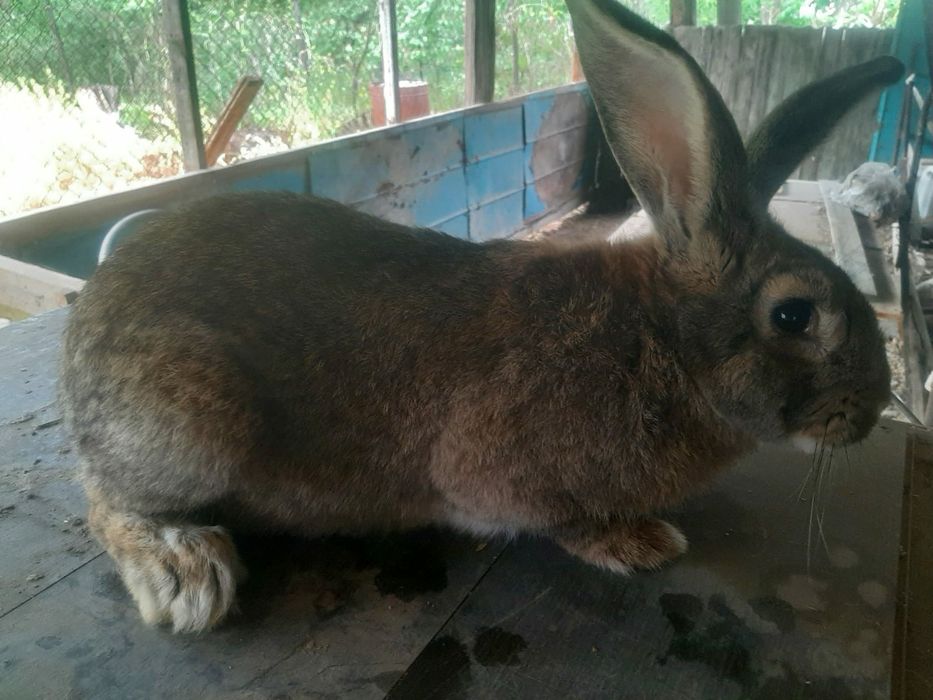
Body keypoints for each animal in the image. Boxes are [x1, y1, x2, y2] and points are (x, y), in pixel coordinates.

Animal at [59, 0, 899, 634]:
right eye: (792, 315)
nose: (871, 410)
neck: (660, 343)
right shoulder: (490, 472)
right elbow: (551, 519)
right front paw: (638, 540)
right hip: (193, 418)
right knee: (103, 496)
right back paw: (183, 572)